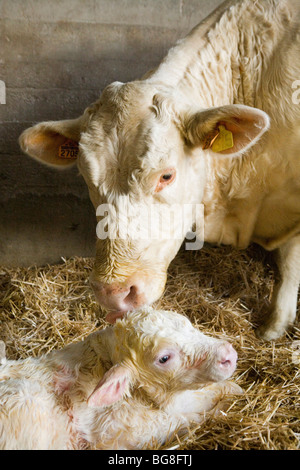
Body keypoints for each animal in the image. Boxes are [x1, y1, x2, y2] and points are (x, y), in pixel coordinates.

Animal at [0, 306, 241, 450]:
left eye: (185, 321)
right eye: (164, 358)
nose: (228, 354)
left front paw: (234, 390)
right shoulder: (132, 433)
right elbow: (195, 418)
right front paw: (227, 403)